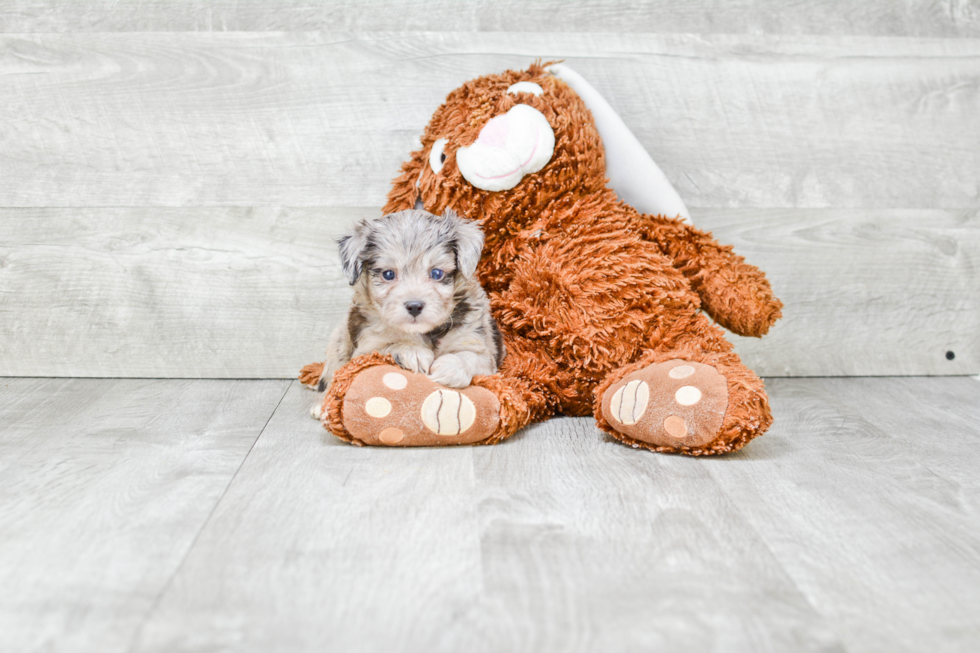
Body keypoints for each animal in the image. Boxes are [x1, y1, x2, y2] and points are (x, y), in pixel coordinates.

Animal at [308, 209, 506, 418]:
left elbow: (470, 357)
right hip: (339, 340)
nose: (414, 306)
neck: (424, 332)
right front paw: (413, 351)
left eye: (436, 273)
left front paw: (451, 367)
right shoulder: (365, 348)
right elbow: (389, 345)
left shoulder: (480, 348)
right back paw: (322, 403)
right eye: (388, 274)